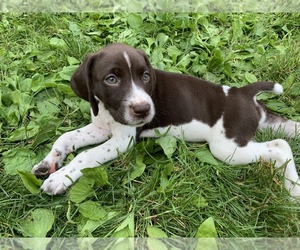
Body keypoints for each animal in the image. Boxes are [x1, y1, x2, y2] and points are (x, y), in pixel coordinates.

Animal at [31, 43, 300, 197]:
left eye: (145, 76)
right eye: (111, 79)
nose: (143, 110)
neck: (108, 110)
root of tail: (242, 92)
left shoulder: (122, 141)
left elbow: (86, 155)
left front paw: (59, 178)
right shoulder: (102, 128)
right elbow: (67, 136)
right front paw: (50, 162)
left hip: (227, 147)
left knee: (280, 146)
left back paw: (293, 190)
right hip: (264, 126)